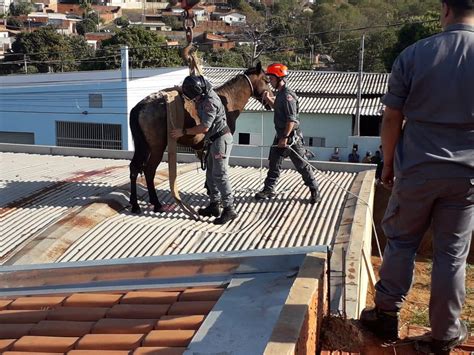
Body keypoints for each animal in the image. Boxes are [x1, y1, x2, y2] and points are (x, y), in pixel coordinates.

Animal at [129, 62, 270, 214]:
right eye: (267, 80)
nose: (270, 100)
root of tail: (141, 106)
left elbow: (208, 168)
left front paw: (210, 190)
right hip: (156, 148)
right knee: (149, 171)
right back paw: (156, 203)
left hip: (144, 147)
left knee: (134, 168)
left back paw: (135, 204)